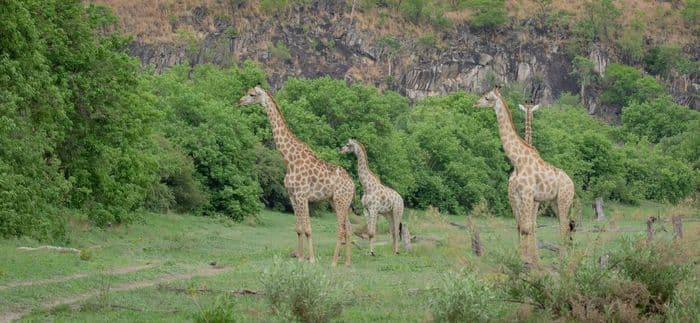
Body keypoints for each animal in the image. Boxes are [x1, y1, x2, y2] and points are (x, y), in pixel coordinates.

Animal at [238, 85, 356, 268]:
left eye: (251, 94)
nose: (239, 101)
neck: (289, 159)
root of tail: (353, 184)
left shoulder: (302, 195)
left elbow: (307, 229)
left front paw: (312, 259)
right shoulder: (292, 196)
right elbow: (298, 229)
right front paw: (300, 258)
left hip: (340, 201)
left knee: (341, 228)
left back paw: (334, 262)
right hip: (337, 200)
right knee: (348, 228)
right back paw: (347, 262)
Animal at [470, 85, 576, 268]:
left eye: (487, 97)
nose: (475, 104)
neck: (517, 161)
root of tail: (572, 183)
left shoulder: (528, 195)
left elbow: (527, 227)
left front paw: (528, 261)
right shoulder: (517, 196)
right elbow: (522, 226)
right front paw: (523, 259)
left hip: (564, 199)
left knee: (563, 226)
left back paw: (561, 260)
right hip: (554, 202)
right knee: (565, 225)